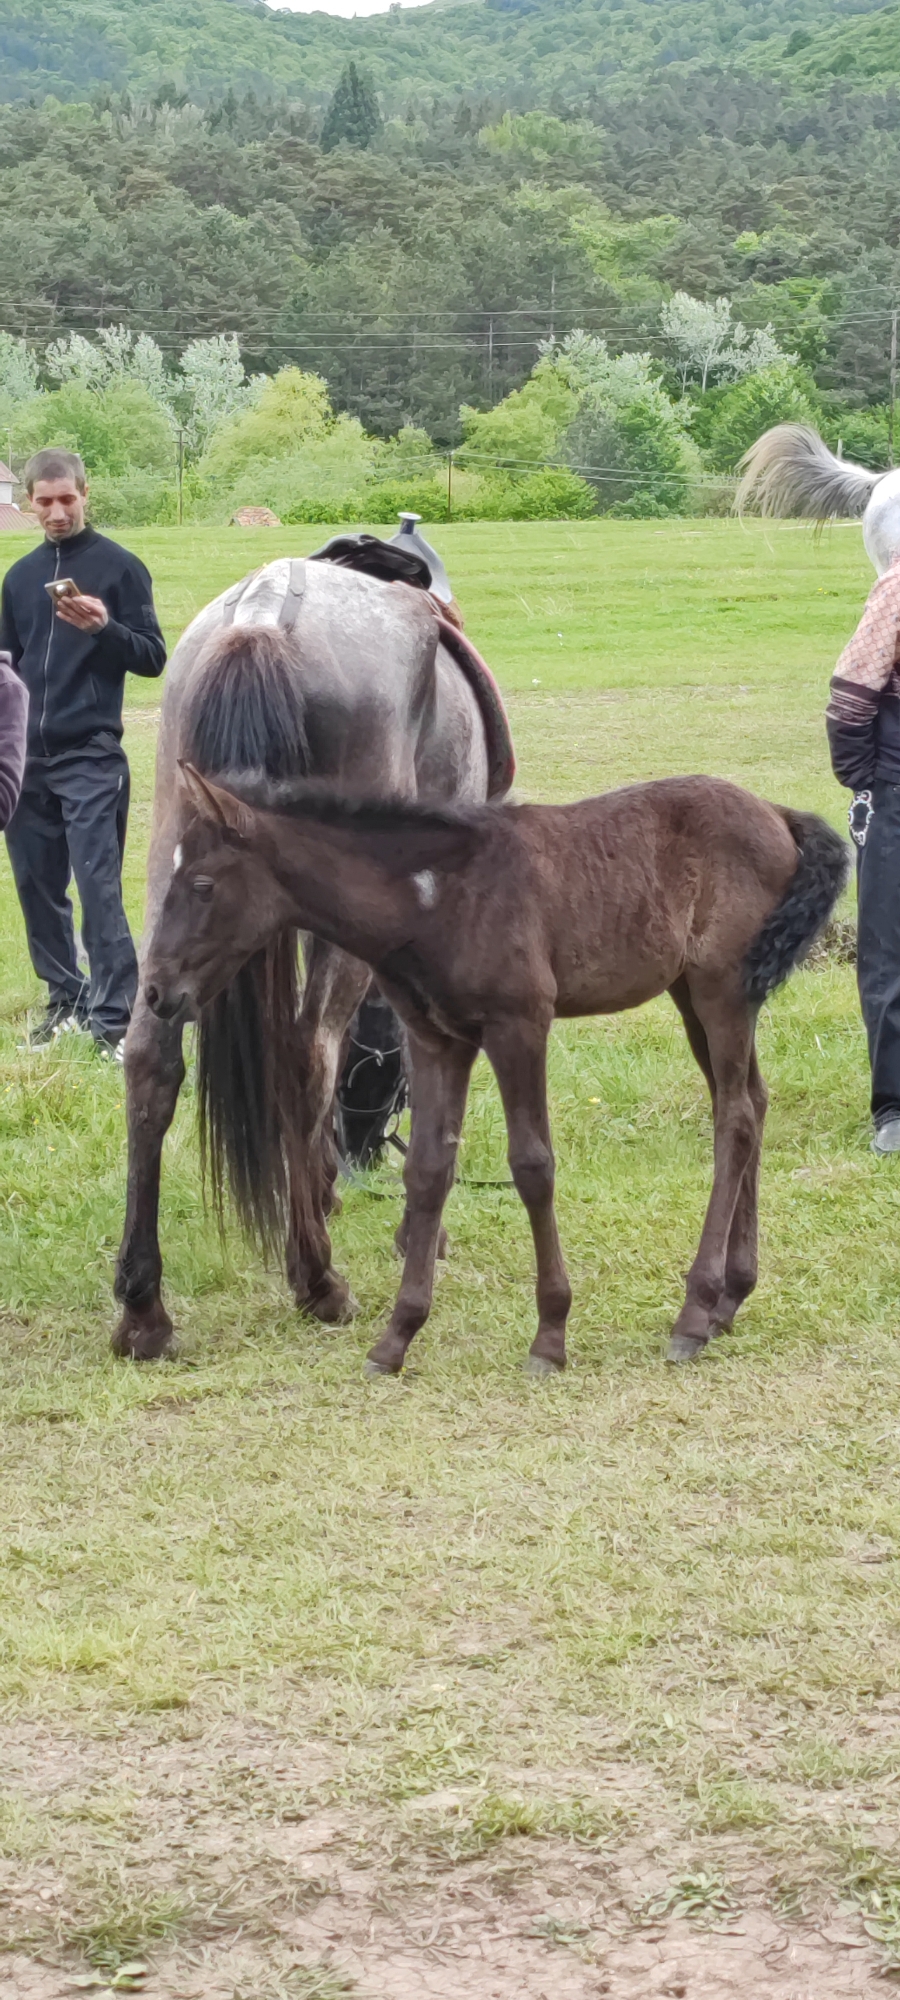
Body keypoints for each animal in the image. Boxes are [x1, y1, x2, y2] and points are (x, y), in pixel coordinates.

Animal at [112, 553, 515, 1361]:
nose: (361, 1157)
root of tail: (265, 619)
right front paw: (418, 1233)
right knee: (306, 1055)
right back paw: (317, 1279)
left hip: (170, 857)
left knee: (150, 1056)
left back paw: (144, 1310)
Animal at [142, 763, 849, 1374]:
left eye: (201, 886)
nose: (155, 992)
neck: (434, 897)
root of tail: (778, 814)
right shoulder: (436, 1038)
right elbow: (428, 1170)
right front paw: (397, 1336)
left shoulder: (519, 1026)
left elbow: (532, 1165)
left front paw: (550, 1335)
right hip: (695, 994)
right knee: (752, 1102)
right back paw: (731, 1296)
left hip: (720, 989)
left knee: (734, 1118)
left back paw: (695, 1313)